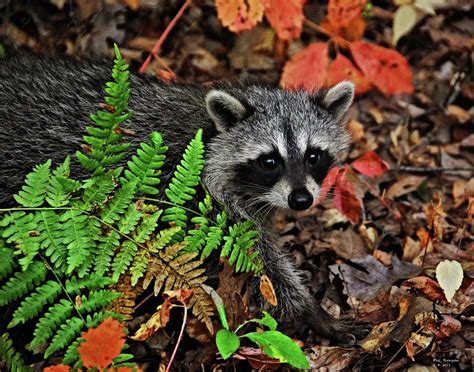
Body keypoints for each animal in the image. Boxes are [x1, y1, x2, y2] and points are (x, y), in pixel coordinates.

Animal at [0, 54, 368, 342]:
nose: (301, 200)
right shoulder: (203, 208)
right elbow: (260, 272)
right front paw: (311, 312)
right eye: (269, 161)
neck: (209, 136)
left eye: (313, 156)